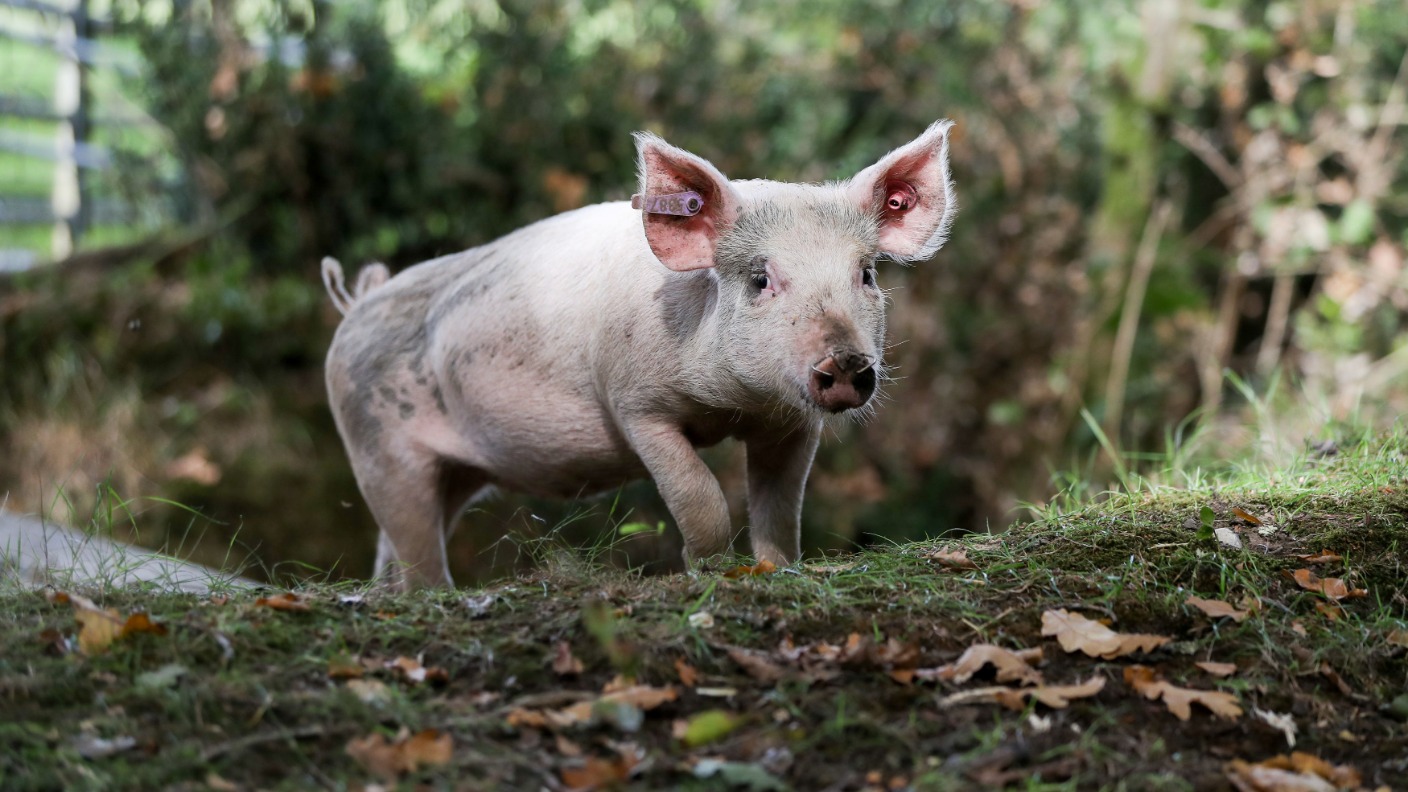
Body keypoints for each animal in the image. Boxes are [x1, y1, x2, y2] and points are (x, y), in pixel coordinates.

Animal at [322, 121, 957, 586]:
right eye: (759, 279)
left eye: (866, 274)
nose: (846, 362)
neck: (731, 408)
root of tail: (356, 305)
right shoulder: (635, 404)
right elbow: (698, 495)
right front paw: (710, 571)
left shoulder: (790, 424)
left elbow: (780, 510)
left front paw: (773, 569)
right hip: (376, 446)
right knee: (413, 545)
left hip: (450, 470)